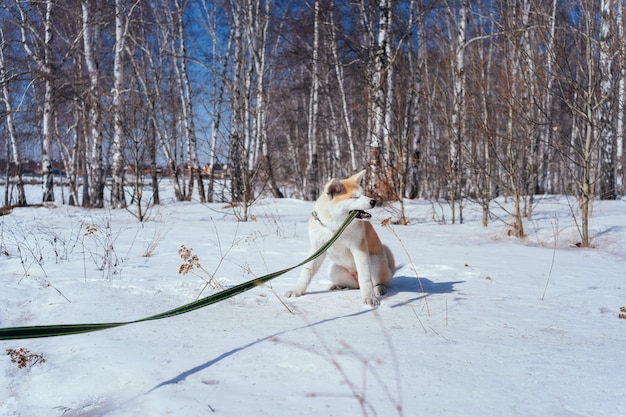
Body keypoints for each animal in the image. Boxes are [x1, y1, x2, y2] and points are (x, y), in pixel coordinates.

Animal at [284, 170, 392, 306]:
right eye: (355, 197)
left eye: (364, 194)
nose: (374, 201)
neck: (336, 227)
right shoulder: (317, 248)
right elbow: (306, 271)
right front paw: (297, 291)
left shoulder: (359, 248)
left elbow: (365, 277)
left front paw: (369, 297)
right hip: (333, 270)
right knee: (355, 285)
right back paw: (337, 286)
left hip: (374, 260)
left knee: (377, 281)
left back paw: (379, 289)